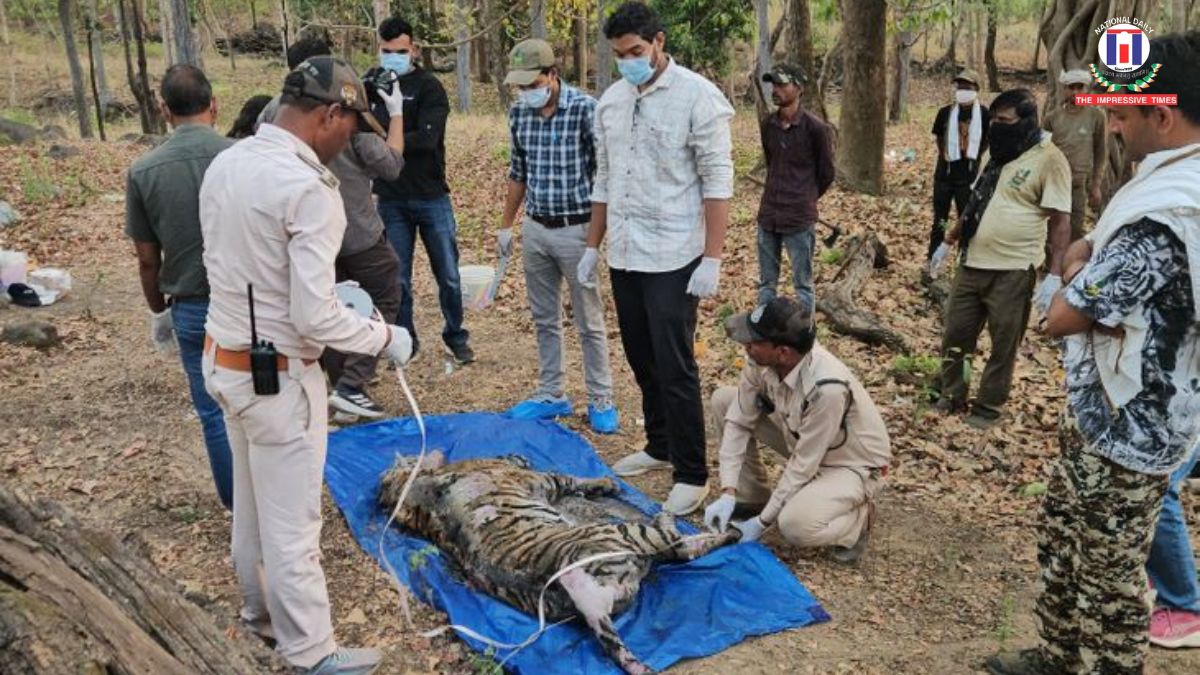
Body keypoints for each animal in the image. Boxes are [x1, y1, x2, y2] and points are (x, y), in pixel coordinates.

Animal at [378, 451, 739, 675]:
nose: (521, 454)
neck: (414, 495)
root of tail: (584, 597)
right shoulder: (540, 480)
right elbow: (570, 478)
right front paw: (605, 483)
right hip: (627, 534)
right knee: (678, 544)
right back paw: (689, 521)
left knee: (682, 549)